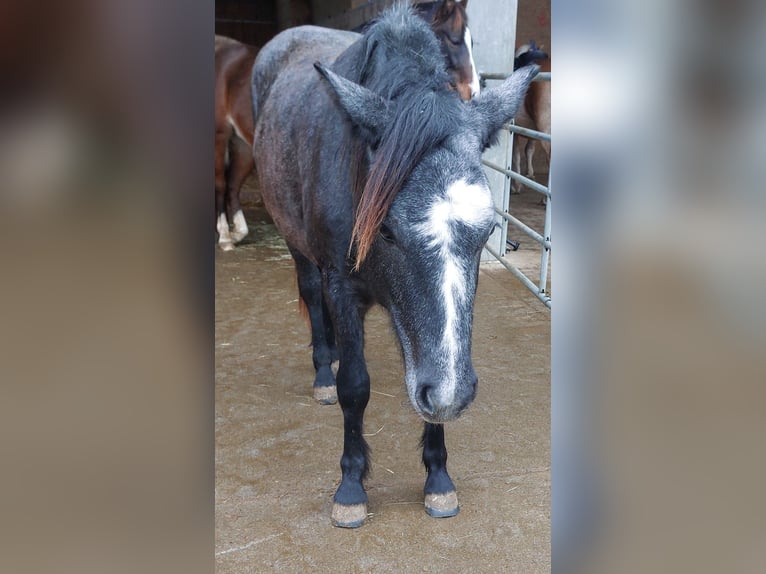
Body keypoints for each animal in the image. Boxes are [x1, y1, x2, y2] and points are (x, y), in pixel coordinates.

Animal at [251, 4, 537, 527]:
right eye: (385, 230)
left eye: (488, 231)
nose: (453, 394)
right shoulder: (343, 287)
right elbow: (355, 386)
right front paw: (350, 488)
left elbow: (425, 384)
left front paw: (439, 478)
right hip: (295, 242)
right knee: (311, 294)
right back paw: (323, 371)